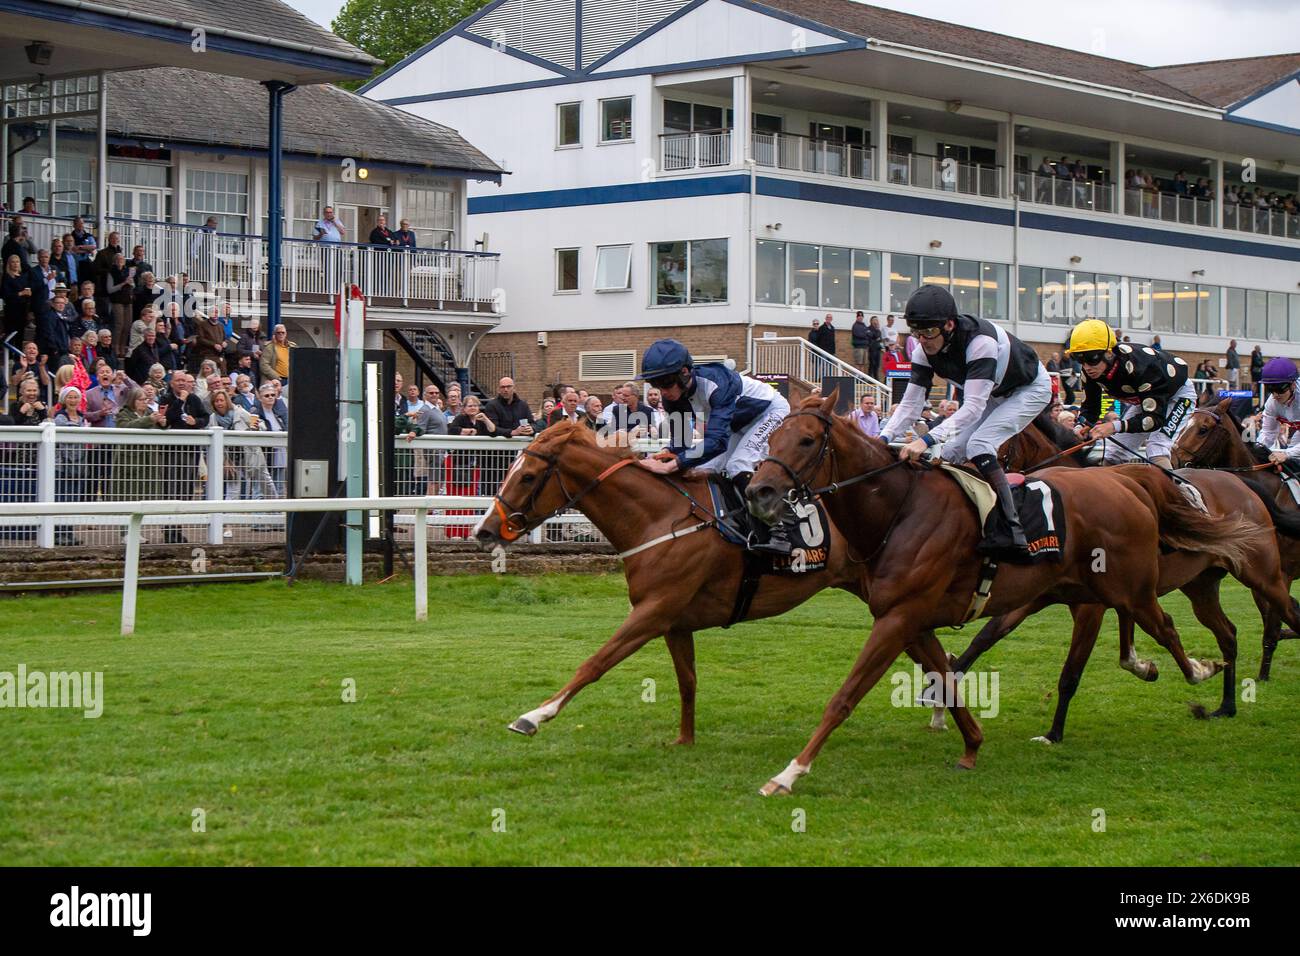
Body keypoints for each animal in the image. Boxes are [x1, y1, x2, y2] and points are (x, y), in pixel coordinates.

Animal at [473, 424, 972, 749]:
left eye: (528, 476)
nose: (483, 530)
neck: (660, 518)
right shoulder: (675, 620)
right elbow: (688, 680)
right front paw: (684, 739)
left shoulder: (654, 610)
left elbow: (593, 664)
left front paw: (533, 716)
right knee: (931, 652)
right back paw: (942, 710)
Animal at [748, 392, 1253, 796]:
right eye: (771, 441)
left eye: (806, 441)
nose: (759, 492)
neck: (900, 510)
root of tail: (1126, 482)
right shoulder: (913, 621)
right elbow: (949, 678)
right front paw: (970, 745)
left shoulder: (898, 619)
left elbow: (845, 696)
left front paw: (789, 773)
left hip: (1129, 587)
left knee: (1167, 626)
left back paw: (1203, 672)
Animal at [1170, 395, 1300, 681]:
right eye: (1184, 424)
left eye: (1203, 429)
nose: (1173, 459)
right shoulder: (1264, 577)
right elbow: (1272, 622)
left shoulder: (1281, 573)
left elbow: (1273, 625)